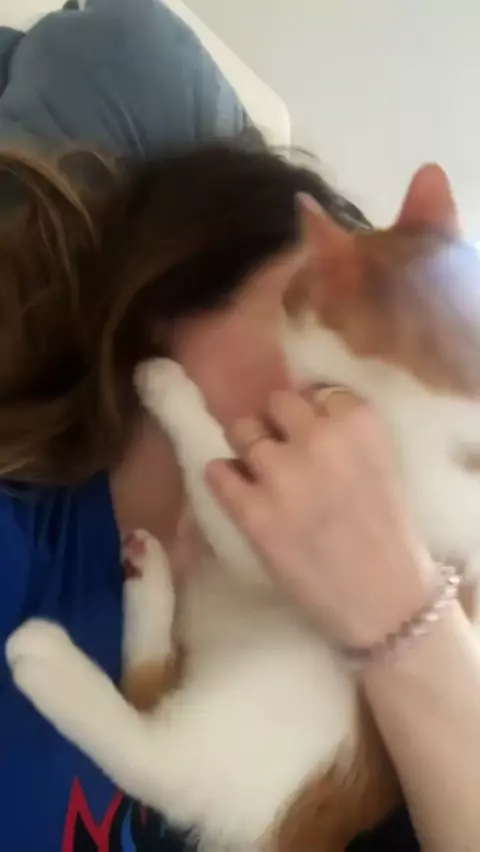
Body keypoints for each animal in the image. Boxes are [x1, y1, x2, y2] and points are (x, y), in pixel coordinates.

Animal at [6, 163, 480, 852]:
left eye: (294, 291)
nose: (284, 304)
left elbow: (216, 463)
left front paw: (169, 386)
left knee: (154, 752)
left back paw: (48, 659)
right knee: (153, 683)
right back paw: (148, 580)